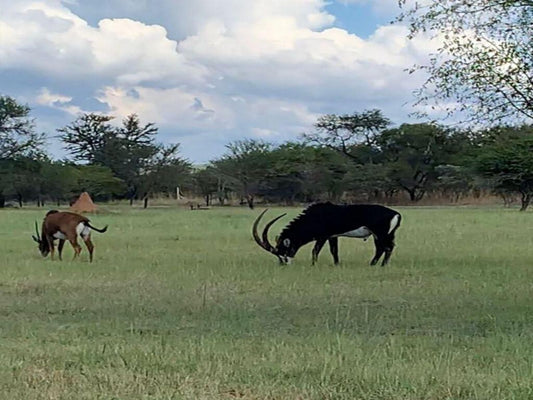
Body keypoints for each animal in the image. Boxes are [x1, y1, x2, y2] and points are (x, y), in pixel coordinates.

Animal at [252, 203, 400, 266]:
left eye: (282, 252)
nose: (283, 265)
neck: (313, 216)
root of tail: (396, 214)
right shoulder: (332, 236)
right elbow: (334, 251)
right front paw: (336, 264)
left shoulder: (323, 236)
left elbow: (315, 250)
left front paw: (313, 265)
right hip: (383, 235)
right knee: (386, 248)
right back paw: (378, 265)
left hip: (380, 235)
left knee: (384, 248)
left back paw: (377, 265)